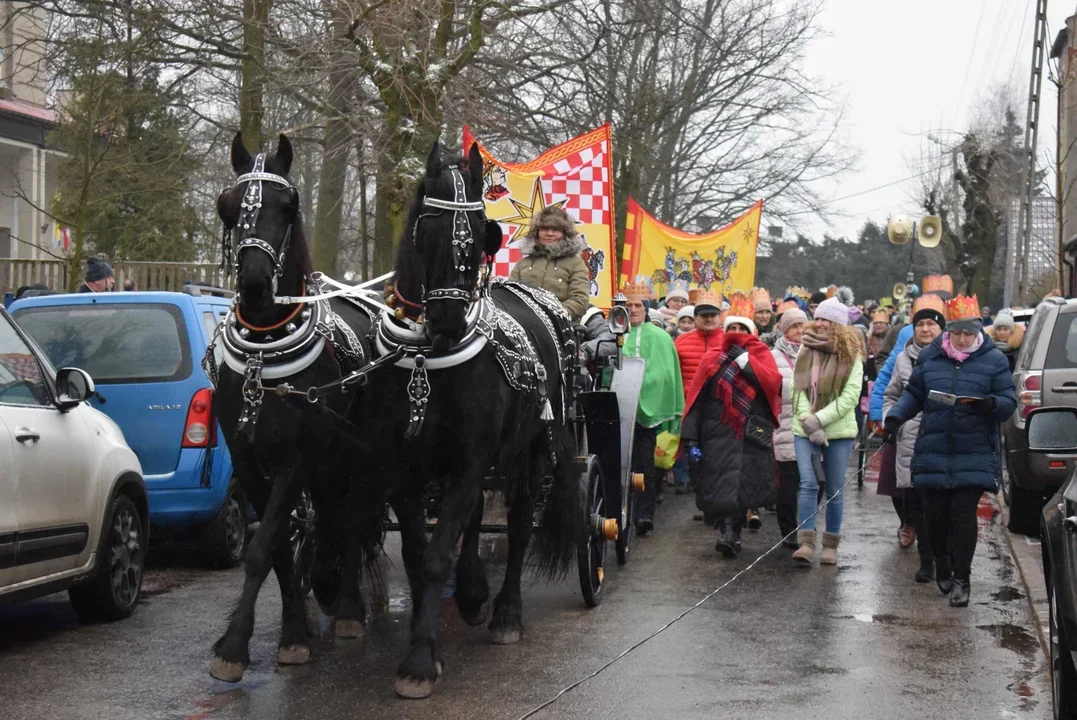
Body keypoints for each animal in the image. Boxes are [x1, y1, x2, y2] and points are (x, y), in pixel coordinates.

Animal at [205, 133, 383, 680]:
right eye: (227, 205)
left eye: (290, 206)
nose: (254, 283)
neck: (264, 352)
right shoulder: (249, 460)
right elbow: (280, 545)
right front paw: (293, 633)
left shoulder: (297, 455)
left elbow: (263, 545)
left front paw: (235, 647)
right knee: (330, 515)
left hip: (354, 455)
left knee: (349, 515)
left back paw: (347, 607)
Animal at [348, 139, 585, 697]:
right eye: (427, 228)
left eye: (480, 233)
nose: (450, 319)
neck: (424, 359)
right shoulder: (404, 468)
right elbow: (419, 555)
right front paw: (427, 639)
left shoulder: (470, 461)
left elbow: (438, 554)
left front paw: (419, 659)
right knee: (477, 517)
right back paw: (475, 592)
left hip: (534, 448)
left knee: (519, 524)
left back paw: (504, 613)